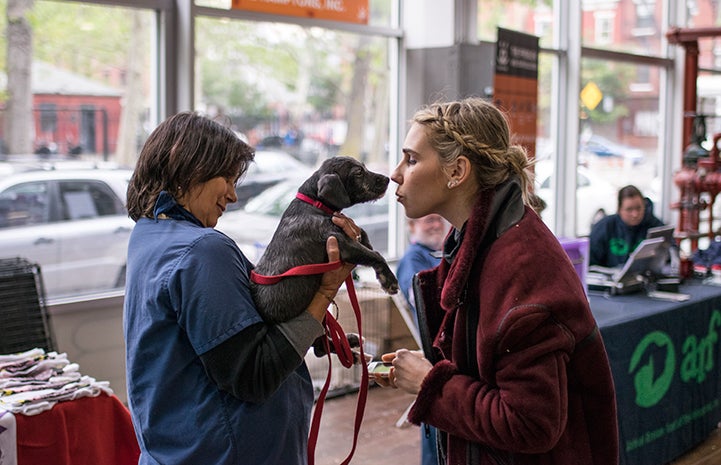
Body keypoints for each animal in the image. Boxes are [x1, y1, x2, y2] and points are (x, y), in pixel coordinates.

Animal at [250, 156, 400, 322]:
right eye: (359, 172)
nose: (387, 179)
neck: (315, 204)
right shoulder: (342, 243)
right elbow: (376, 255)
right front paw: (389, 280)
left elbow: (364, 235)